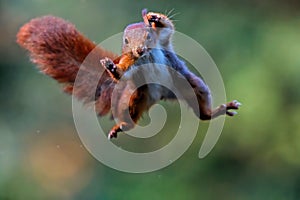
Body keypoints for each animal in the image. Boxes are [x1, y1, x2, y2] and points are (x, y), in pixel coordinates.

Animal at [17, 9, 241, 139]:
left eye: (148, 35)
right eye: (126, 41)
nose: (139, 50)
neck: (146, 56)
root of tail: (161, 95)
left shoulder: (163, 41)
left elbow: (168, 28)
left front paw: (155, 18)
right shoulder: (130, 61)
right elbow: (123, 70)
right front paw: (113, 69)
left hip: (189, 84)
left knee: (202, 110)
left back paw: (217, 110)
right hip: (136, 96)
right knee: (131, 118)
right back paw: (122, 126)